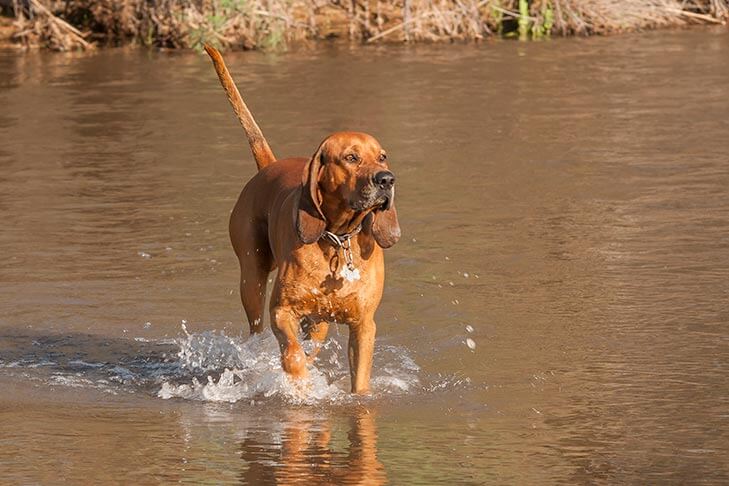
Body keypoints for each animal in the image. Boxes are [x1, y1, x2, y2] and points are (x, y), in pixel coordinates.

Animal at [202, 45, 400, 394]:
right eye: (351, 158)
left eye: (382, 157)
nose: (386, 179)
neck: (338, 239)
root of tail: (269, 164)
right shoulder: (282, 311)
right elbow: (292, 354)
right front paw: (299, 385)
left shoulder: (364, 326)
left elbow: (359, 381)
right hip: (251, 277)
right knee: (256, 330)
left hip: (318, 321)